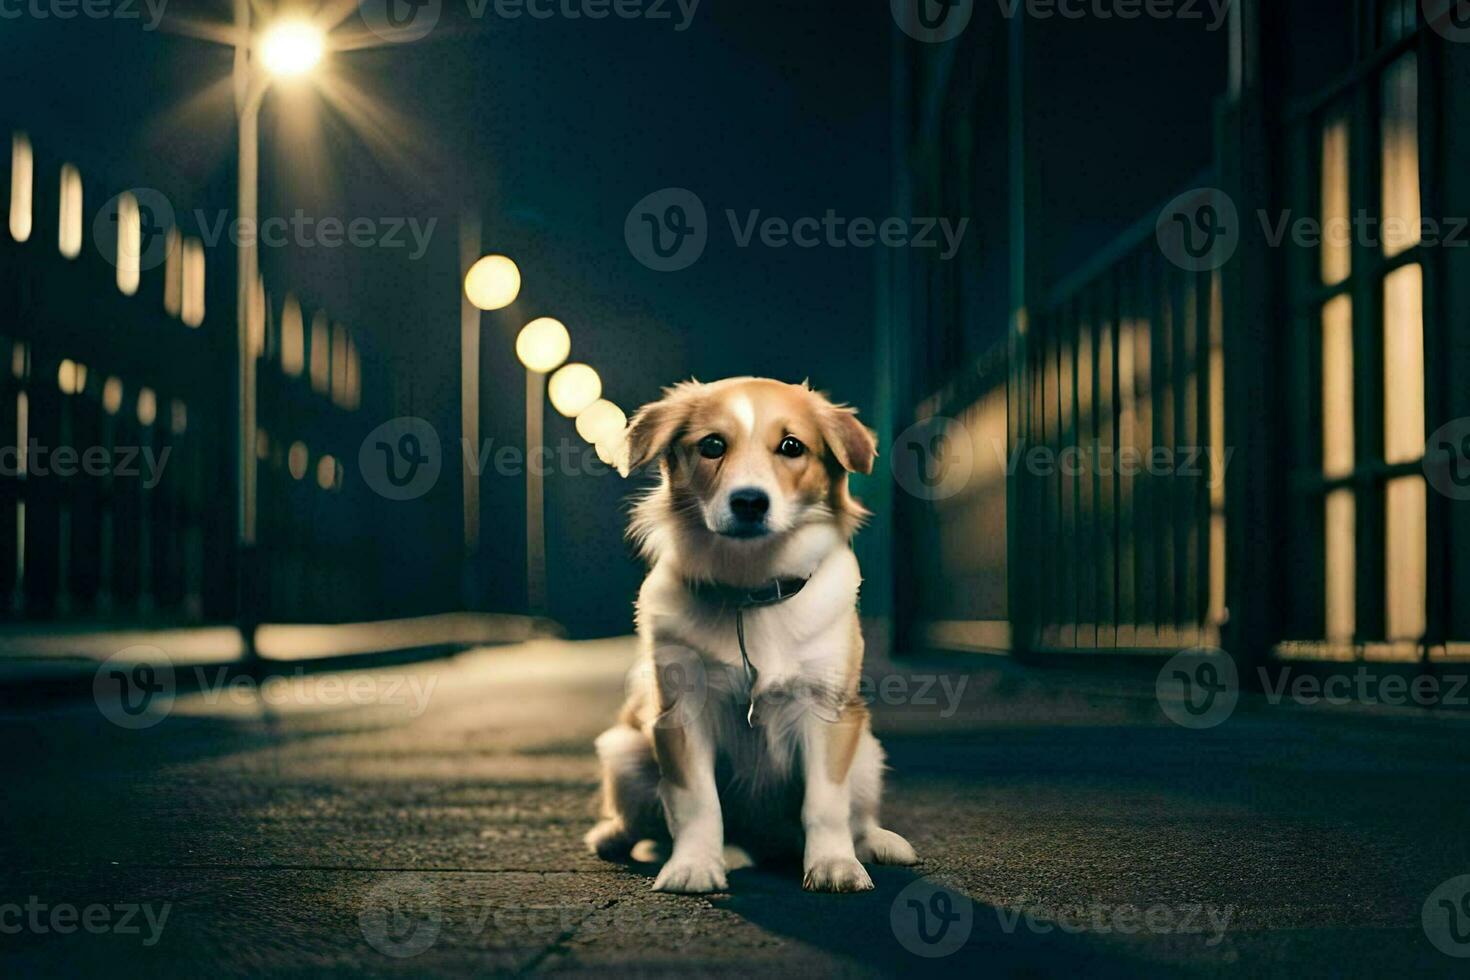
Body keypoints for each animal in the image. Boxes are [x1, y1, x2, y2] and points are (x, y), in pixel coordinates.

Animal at [585, 379, 917, 899]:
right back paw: (620, 838)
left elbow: (826, 804)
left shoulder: (827, 710)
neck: (750, 590)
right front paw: (694, 865)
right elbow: (697, 801)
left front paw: (834, 864)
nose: (749, 502)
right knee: (640, 821)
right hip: (625, 752)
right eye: (712, 445)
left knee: (855, 816)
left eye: (792, 446)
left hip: (866, 753)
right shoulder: (680, 714)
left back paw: (876, 842)